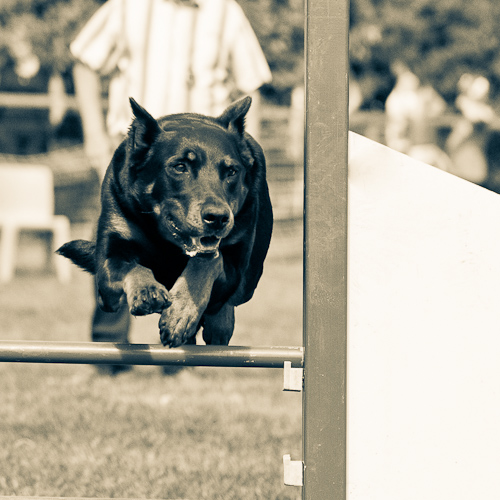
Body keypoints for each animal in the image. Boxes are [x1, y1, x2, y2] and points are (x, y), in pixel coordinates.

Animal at [58, 96, 274, 348]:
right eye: (180, 167)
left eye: (231, 171)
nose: (218, 217)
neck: (166, 240)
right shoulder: (108, 274)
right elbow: (132, 266)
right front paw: (147, 290)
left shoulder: (235, 264)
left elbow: (209, 260)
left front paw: (181, 311)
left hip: (249, 278)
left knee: (228, 298)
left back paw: (219, 323)